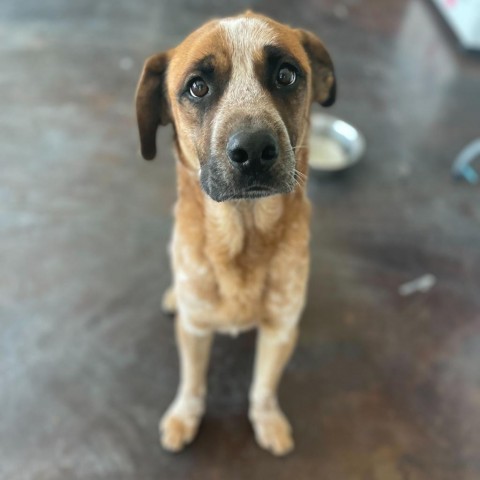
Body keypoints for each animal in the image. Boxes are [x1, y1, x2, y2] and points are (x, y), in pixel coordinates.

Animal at [135, 9, 336, 456]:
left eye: (286, 75)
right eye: (197, 86)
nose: (255, 150)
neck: (243, 236)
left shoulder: (280, 330)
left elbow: (263, 387)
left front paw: (267, 421)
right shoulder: (194, 330)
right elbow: (192, 383)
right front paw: (184, 416)